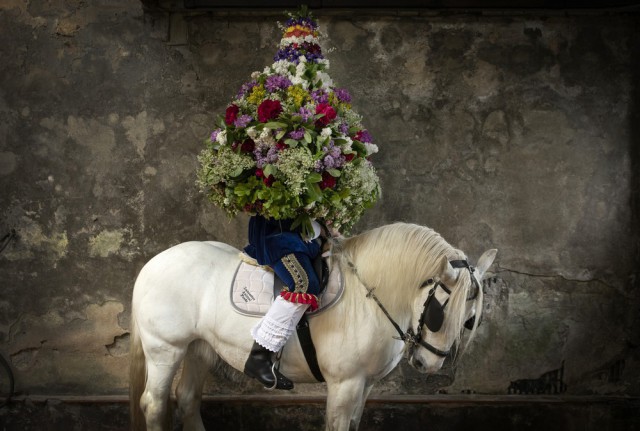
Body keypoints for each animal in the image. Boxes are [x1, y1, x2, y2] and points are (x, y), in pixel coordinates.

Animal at [130, 224, 498, 430]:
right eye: (438, 312)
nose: (430, 364)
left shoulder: (365, 385)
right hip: (166, 349)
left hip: (200, 349)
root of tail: (155, 262)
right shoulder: (345, 384)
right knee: (154, 403)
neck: (365, 297)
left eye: (470, 319)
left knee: (188, 399)